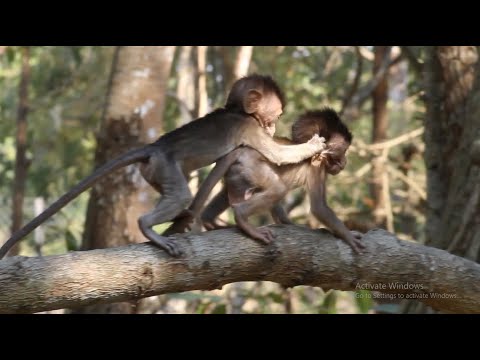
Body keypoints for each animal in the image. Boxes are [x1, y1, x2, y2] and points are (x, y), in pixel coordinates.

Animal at [0, 74, 326, 258]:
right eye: (275, 115)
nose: (273, 127)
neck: (237, 111)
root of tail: (155, 147)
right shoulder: (249, 128)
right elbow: (277, 154)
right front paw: (313, 145)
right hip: (165, 165)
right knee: (178, 195)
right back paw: (150, 226)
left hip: (156, 172)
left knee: (177, 190)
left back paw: (183, 216)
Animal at [168, 108, 364, 255]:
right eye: (342, 153)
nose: (344, 163)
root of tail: (241, 150)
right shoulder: (318, 168)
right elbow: (319, 207)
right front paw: (348, 235)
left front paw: (287, 223)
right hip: (252, 167)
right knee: (278, 189)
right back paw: (242, 218)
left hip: (238, 173)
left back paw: (209, 220)